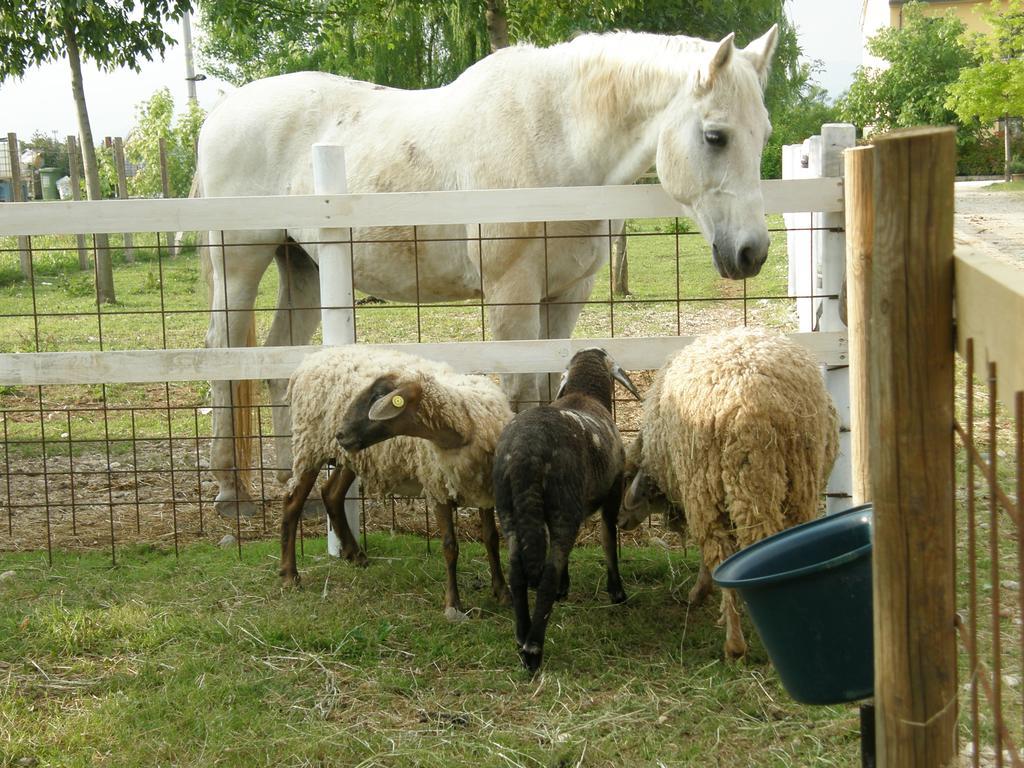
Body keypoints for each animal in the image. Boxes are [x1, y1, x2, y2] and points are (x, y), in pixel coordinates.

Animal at [197, 25, 774, 518]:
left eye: (764, 134)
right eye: (716, 136)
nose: (752, 253)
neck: (557, 139)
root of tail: (221, 111)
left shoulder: (567, 293)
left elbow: (551, 386)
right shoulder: (512, 295)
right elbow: (520, 391)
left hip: (304, 267)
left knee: (277, 364)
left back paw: (295, 483)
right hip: (239, 266)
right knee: (223, 361)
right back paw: (230, 493)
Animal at [278, 348, 512, 618]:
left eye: (379, 396)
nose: (340, 433)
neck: (466, 424)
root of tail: (310, 360)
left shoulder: (485, 489)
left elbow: (491, 538)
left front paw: (503, 592)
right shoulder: (437, 487)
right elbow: (450, 546)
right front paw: (453, 605)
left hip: (352, 453)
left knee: (331, 493)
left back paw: (355, 555)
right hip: (310, 444)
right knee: (293, 502)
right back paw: (290, 575)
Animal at [489, 348, 638, 671]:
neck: (585, 393)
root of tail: (526, 452)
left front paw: (565, 589)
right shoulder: (610, 494)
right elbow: (608, 541)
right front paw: (617, 592)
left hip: (509, 509)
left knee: (517, 573)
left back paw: (521, 637)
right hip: (562, 505)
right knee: (548, 573)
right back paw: (534, 649)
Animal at [618, 327, 835, 659]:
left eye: (628, 478)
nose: (619, 522)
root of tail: (755, 404)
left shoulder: (700, 497)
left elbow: (706, 556)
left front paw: (699, 592)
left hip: (722, 483)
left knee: (723, 555)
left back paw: (735, 643)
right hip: (798, 486)